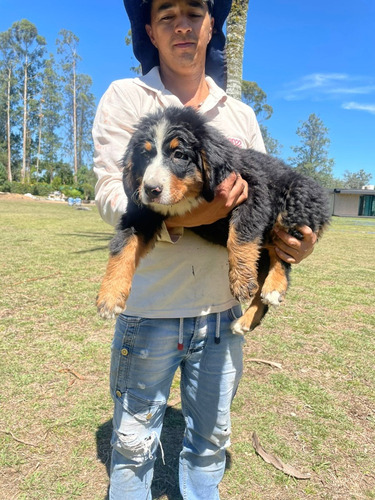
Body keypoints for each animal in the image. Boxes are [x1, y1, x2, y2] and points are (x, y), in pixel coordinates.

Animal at [97, 106, 332, 332]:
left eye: (179, 154)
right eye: (145, 156)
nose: (151, 190)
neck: (190, 196)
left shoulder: (254, 193)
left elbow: (240, 235)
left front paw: (240, 281)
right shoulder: (141, 214)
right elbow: (122, 248)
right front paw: (110, 296)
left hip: (294, 204)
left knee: (283, 255)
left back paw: (274, 287)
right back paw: (246, 321)